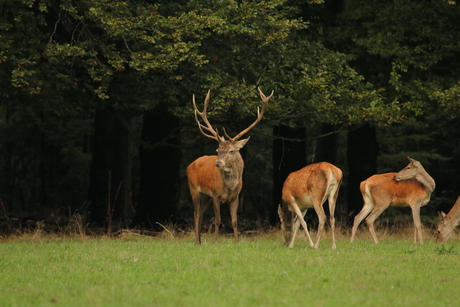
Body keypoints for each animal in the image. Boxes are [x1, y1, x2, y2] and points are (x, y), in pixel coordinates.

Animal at [187, 87, 274, 245]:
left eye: (231, 150)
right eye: (217, 150)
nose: (218, 163)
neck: (230, 186)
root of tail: (190, 165)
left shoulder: (235, 197)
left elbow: (234, 221)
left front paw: (237, 242)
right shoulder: (216, 195)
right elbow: (217, 220)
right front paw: (215, 241)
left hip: (206, 197)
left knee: (200, 214)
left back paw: (200, 241)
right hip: (194, 189)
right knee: (195, 214)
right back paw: (196, 242)